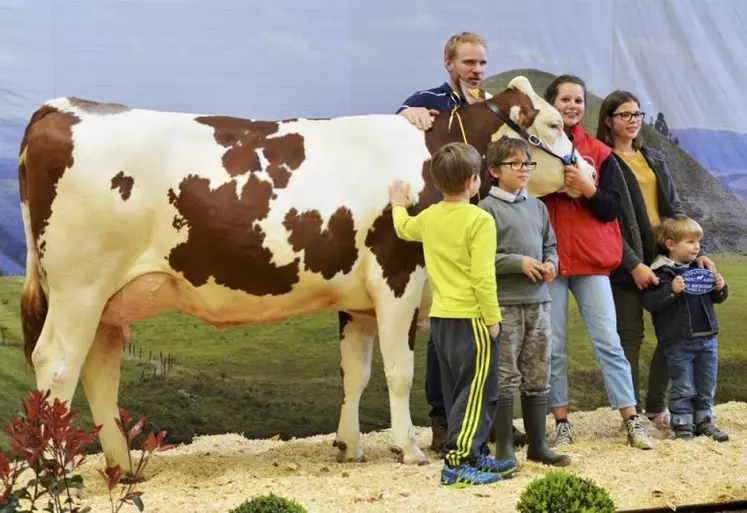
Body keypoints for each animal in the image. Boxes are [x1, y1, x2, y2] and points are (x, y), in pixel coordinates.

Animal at [17, 74, 596, 470]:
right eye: (552, 123)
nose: (588, 169)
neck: (432, 159)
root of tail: (58, 109)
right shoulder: (398, 278)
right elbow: (400, 370)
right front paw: (407, 448)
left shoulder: (358, 299)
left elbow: (354, 371)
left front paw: (348, 445)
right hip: (79, 287)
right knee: (57, 364)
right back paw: (56, 471)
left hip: (109, 301)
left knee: (99, 371)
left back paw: (120, 467)